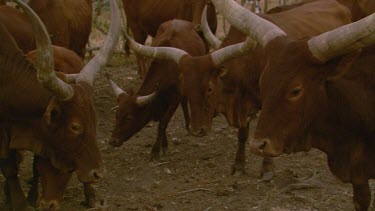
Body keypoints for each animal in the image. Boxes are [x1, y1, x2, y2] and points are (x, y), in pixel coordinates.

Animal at [108, 19, 207, 162]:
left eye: (129, 117)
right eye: (116, 115)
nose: (113, 141)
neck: (166, 69)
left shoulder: (174, 100)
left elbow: (162, 123)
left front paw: (155, 151)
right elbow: (162, 122)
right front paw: (164, 145)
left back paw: (189, 125)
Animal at [123, 0, 356, 178]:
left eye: (209, 88)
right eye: (186, 89)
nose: (197, 130)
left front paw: (267, 169)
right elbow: (243, 135)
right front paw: (238, 165)